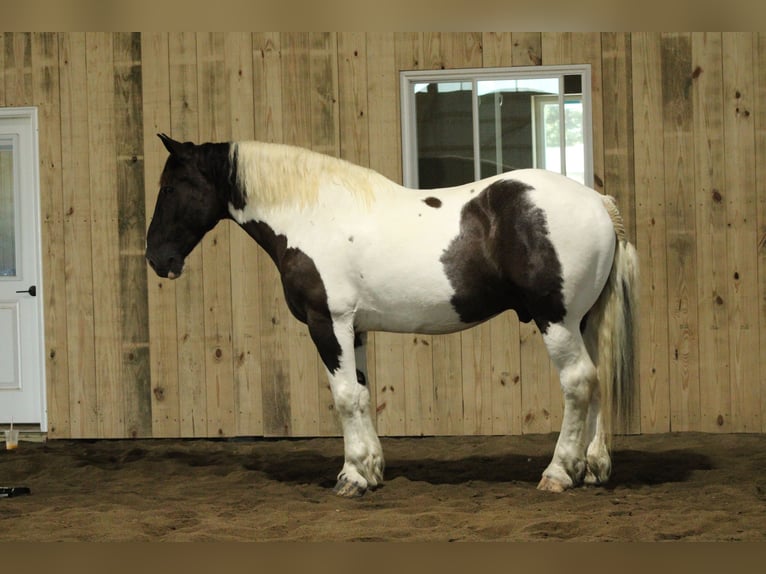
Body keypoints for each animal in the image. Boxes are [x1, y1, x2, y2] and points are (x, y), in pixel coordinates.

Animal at [145, 133, 639, 497]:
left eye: (169, 188)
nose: (156, 258)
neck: (313, 215)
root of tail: (598, 201)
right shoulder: (354, 329)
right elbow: (362, 394)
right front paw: (369, 470)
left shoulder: (328, 323)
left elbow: (344, 397)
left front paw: (351, 477)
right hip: (582, 322)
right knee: (596, 381)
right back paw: (592, 468)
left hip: (555, 319)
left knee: (578, 382)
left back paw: (558, 473)